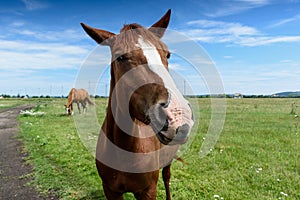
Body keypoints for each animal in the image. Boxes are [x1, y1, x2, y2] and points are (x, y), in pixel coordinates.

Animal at [81, 9, 195, 200]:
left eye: (168, 54)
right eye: (120, 57)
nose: (178, 116)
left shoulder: (148, 191)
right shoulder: (110, 190)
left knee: (167, 177)